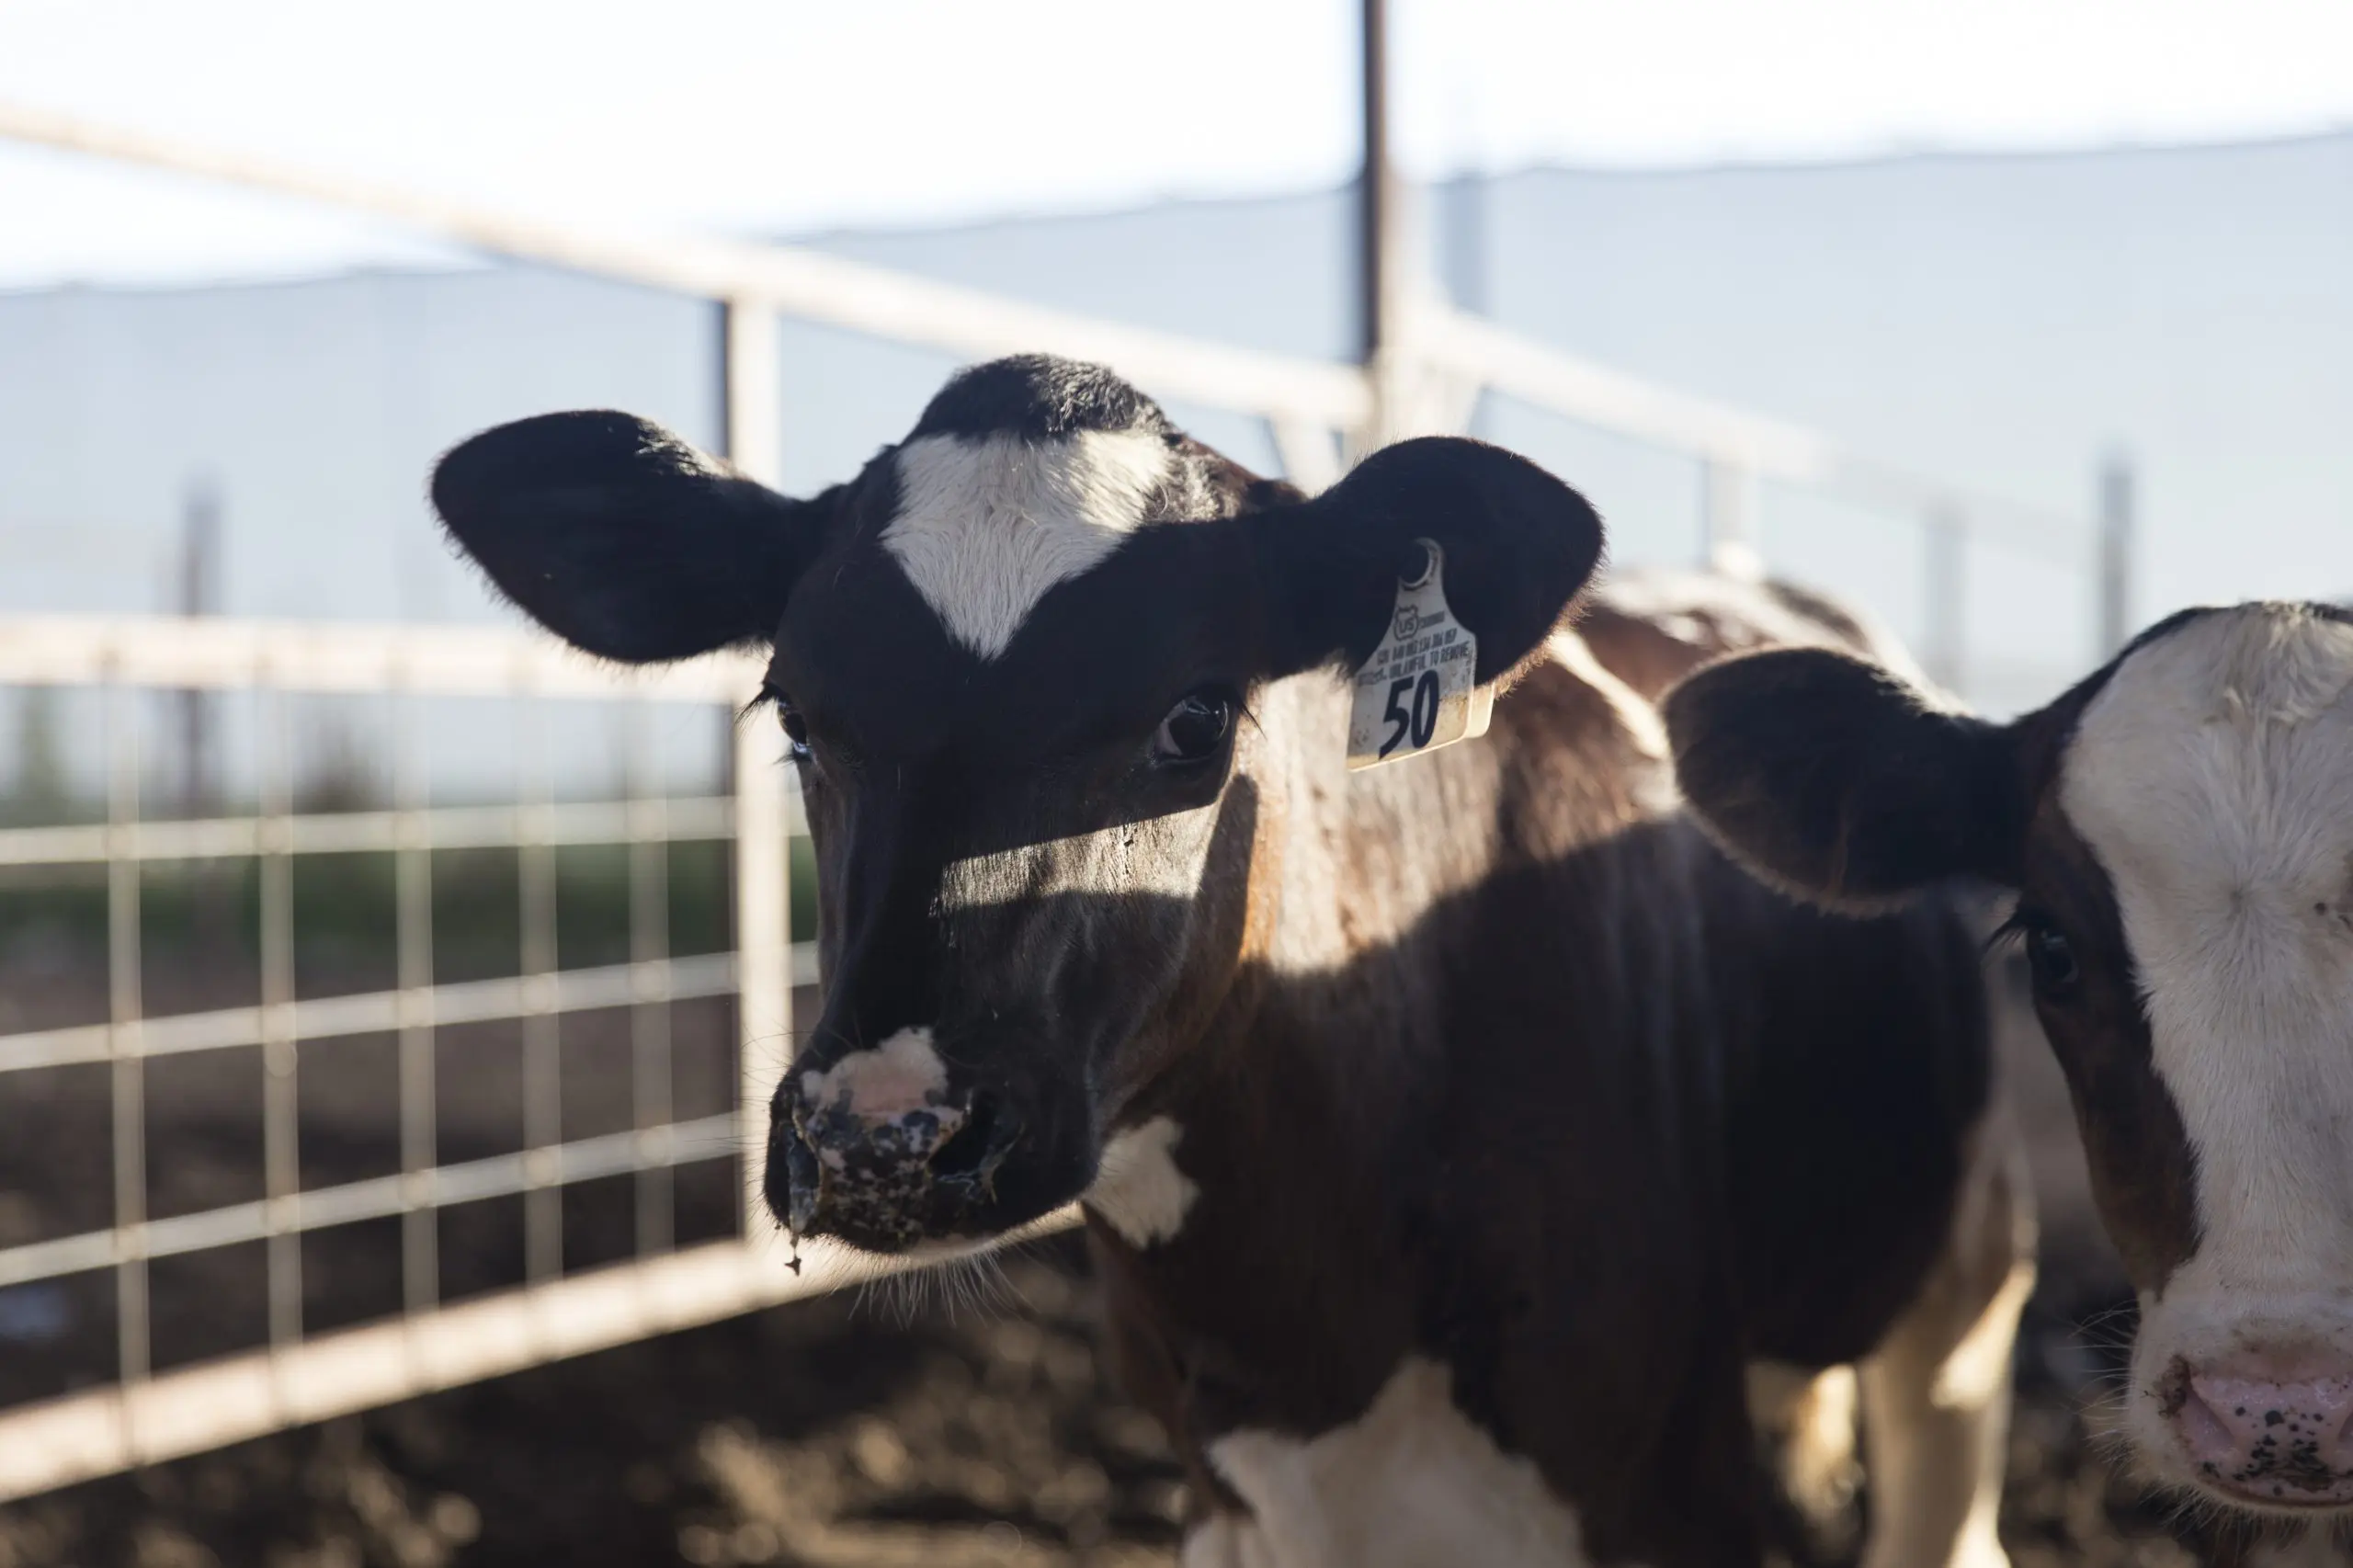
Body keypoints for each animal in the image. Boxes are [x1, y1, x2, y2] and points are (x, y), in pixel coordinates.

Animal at [430, 354, 2031, 1568]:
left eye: (1196, 714)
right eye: (797, 715)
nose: (883, 1139)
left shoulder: (1668, 1492)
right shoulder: (1231, 1501)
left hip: (1962, 1302)